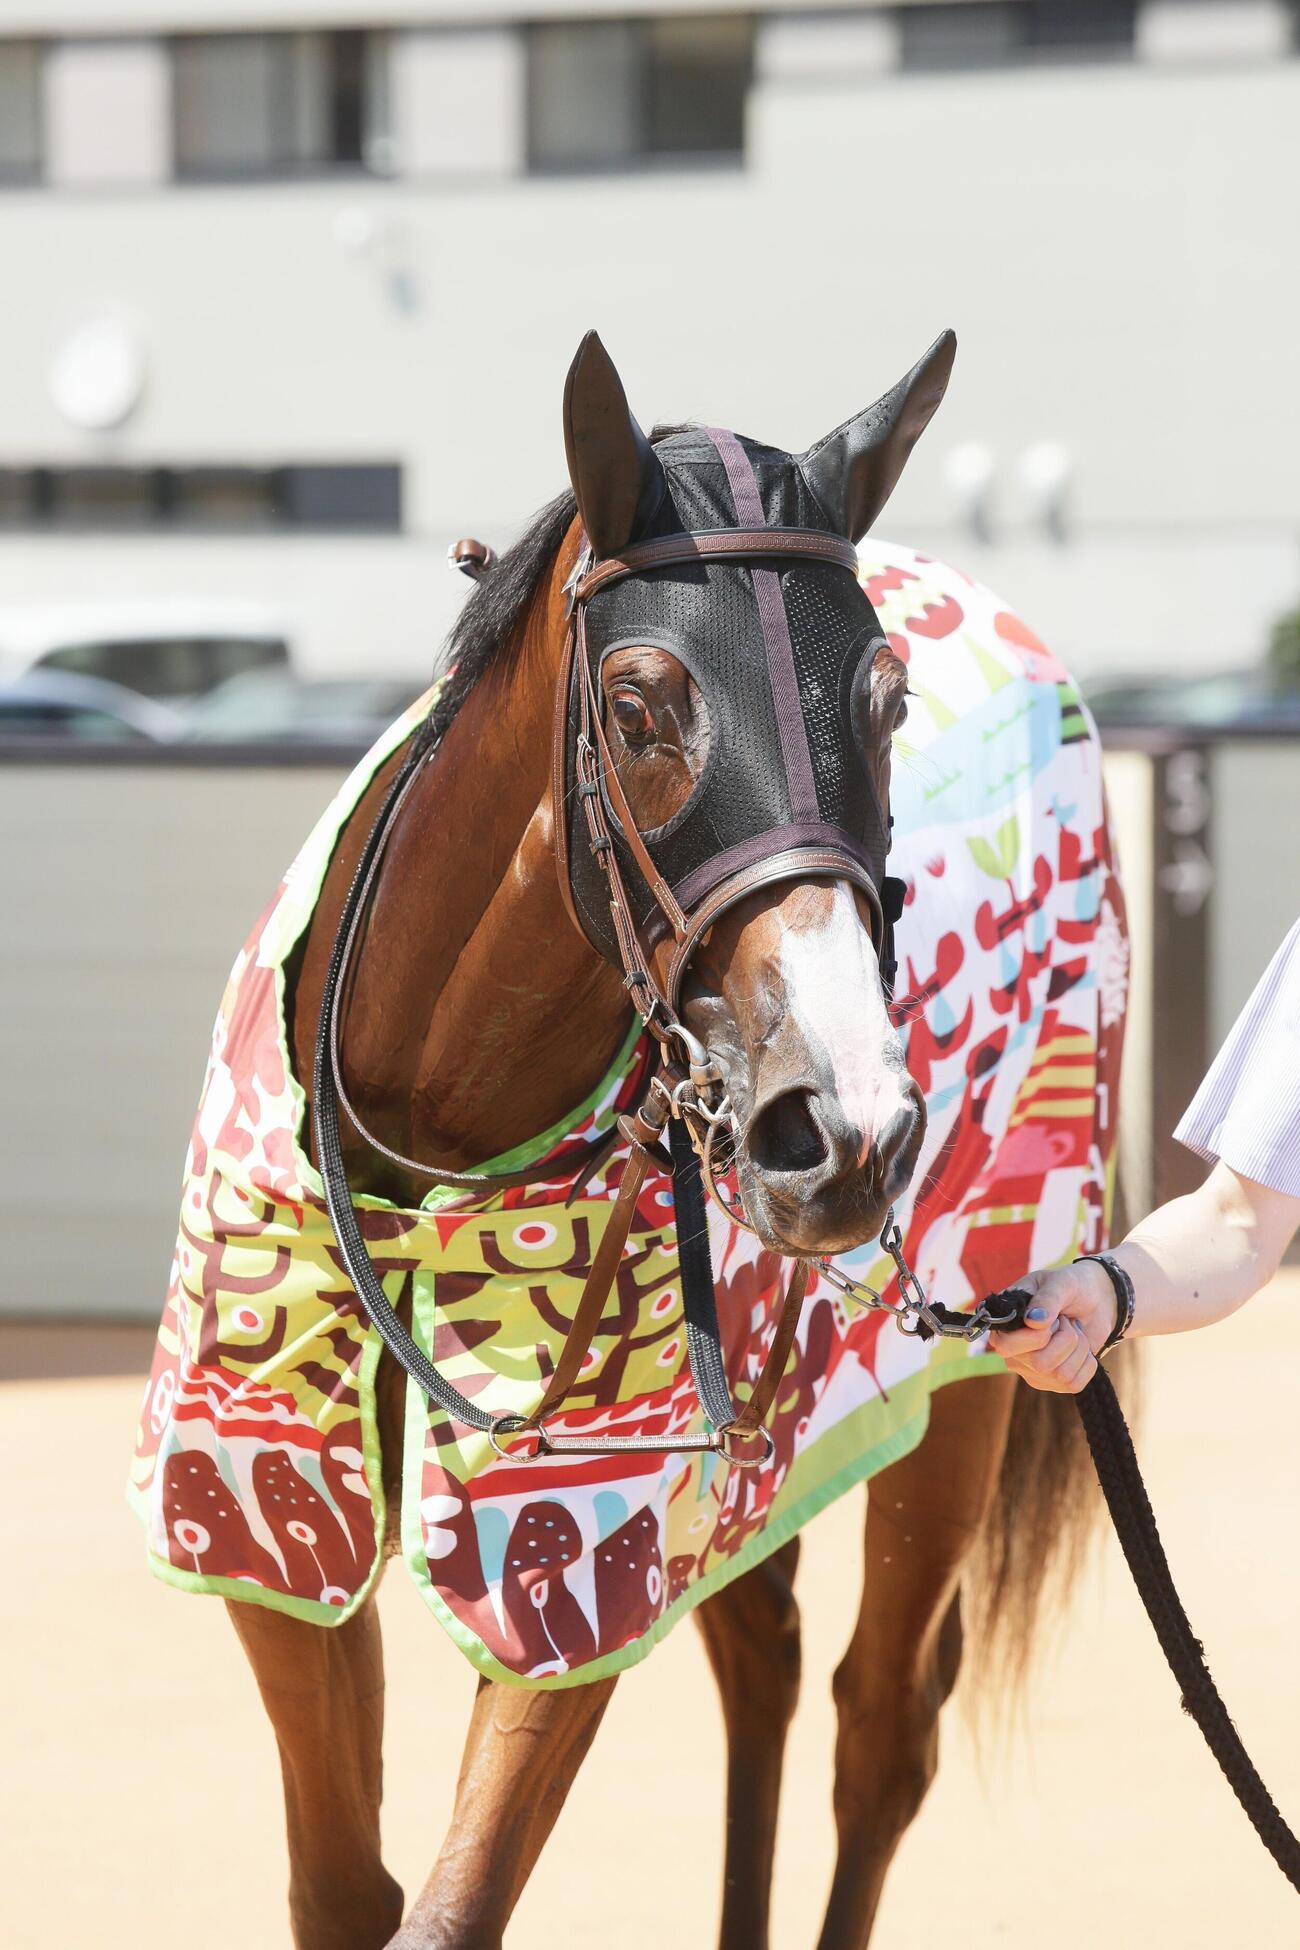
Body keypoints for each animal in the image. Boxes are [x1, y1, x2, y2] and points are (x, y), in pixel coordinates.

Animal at [130, 329, 1129, 1948]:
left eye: (887, 701)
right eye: (642, 701)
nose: (845, 1126)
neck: (432, 1126)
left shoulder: (575, 1524)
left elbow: (455, 1898)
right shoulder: (263, 1478)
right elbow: (343, 1880)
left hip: (979, 1364)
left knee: (878, 1731)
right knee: (765, 1662)